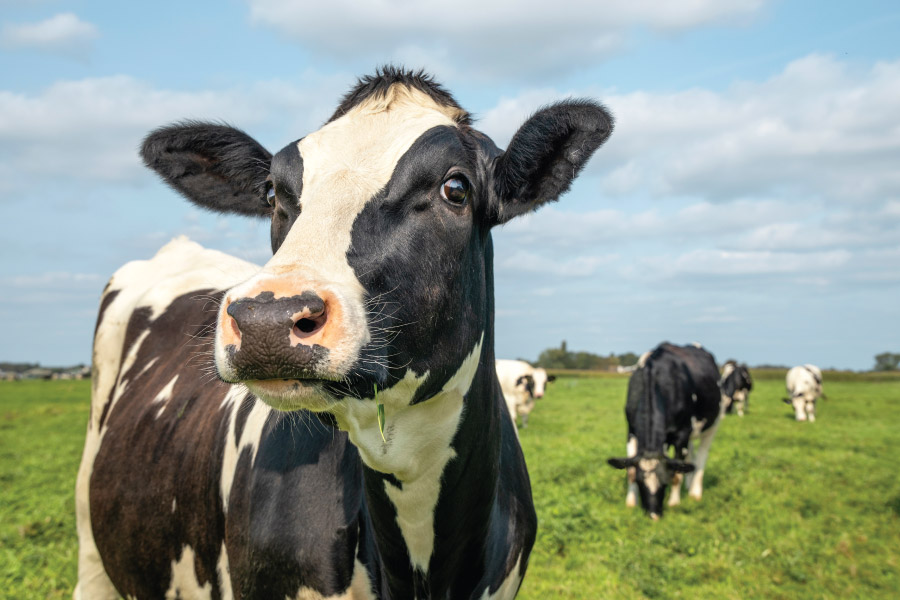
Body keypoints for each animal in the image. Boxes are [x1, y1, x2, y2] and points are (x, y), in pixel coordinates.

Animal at [607, 342, 722, 519]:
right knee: (690, 456)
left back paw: (695, 492)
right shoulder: (631, 431)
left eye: (665, 482)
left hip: (713, 424)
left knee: (702, 455)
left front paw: (674, 503)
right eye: (640, 482)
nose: (654, 515)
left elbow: (677, 473)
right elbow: (630, 470)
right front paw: (631, 503)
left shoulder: (682, 434)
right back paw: (689, 484)